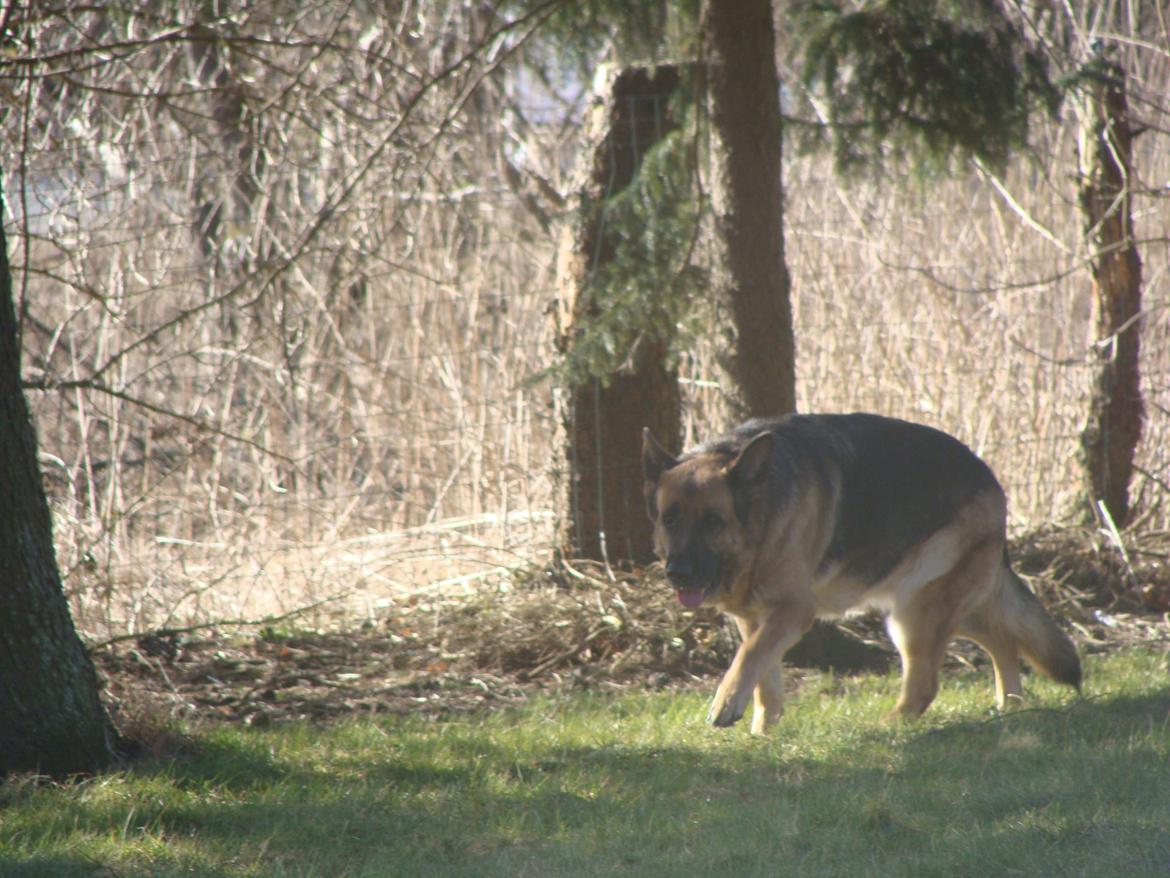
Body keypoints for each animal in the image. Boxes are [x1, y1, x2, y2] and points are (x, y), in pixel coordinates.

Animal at [645, 416, 1081, 730]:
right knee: (1001, 639)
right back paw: (1011, 703)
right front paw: (763, 732)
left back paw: (887, 726)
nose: (678, 573)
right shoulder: (754, 618)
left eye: (713, 521)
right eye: (670, 519)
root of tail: (990, 477)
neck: (760, 523)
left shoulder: (791, 611)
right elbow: (763, 675)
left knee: (926, 685)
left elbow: (749, 656)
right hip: (935, 604)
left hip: (914, 611)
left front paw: (726, 702)